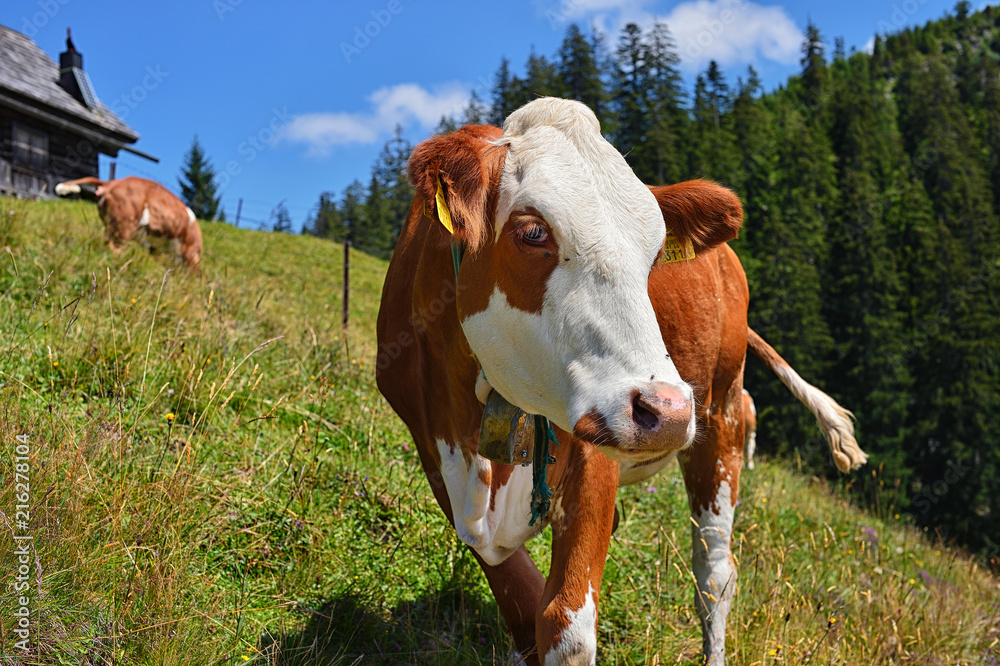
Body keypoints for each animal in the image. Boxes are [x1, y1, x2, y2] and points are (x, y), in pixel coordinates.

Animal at [376, 98, 867, 665]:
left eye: (655, 253)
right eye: (533, 231)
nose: (668, 411)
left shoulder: (594, 451)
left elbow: (565, 626)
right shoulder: (430, 445)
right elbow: (522, 607)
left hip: (719, 412)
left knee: (715, 576)